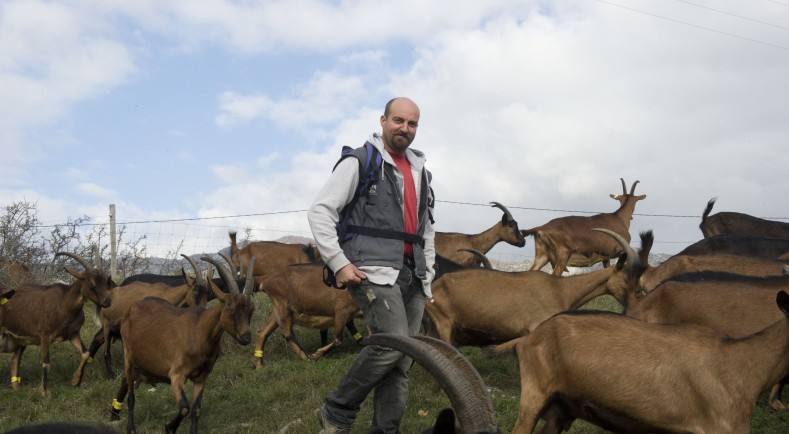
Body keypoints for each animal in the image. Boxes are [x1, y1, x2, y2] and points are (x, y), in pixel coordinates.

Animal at [0, 251, 112, 394]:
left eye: (106, 281)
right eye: (92, 284)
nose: (107, 302)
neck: (64, 304)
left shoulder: (73, 334)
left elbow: (86, 354)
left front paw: (75, 381)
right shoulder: (45, 336)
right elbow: (46, 363)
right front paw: (44, 392)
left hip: (18, 339)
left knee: (15, 359)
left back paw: (16, 389)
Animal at [107, 256, 254, 432]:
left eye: (251, 310)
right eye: (230, 309)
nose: (246, 337)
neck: (199, 332)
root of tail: (133, 308)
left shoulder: (201, 377)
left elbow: (196, 410)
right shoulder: (176, 375)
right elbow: (184, 407)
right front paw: (169, 427)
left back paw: (115, 414)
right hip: (129, 356)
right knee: (131, 396)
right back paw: (130, 427)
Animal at [424, 227, 640, 346]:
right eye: (628, 278)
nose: (634, 309)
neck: (561, 290)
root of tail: (435, 286)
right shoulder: (536, 330)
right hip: (444, 323)